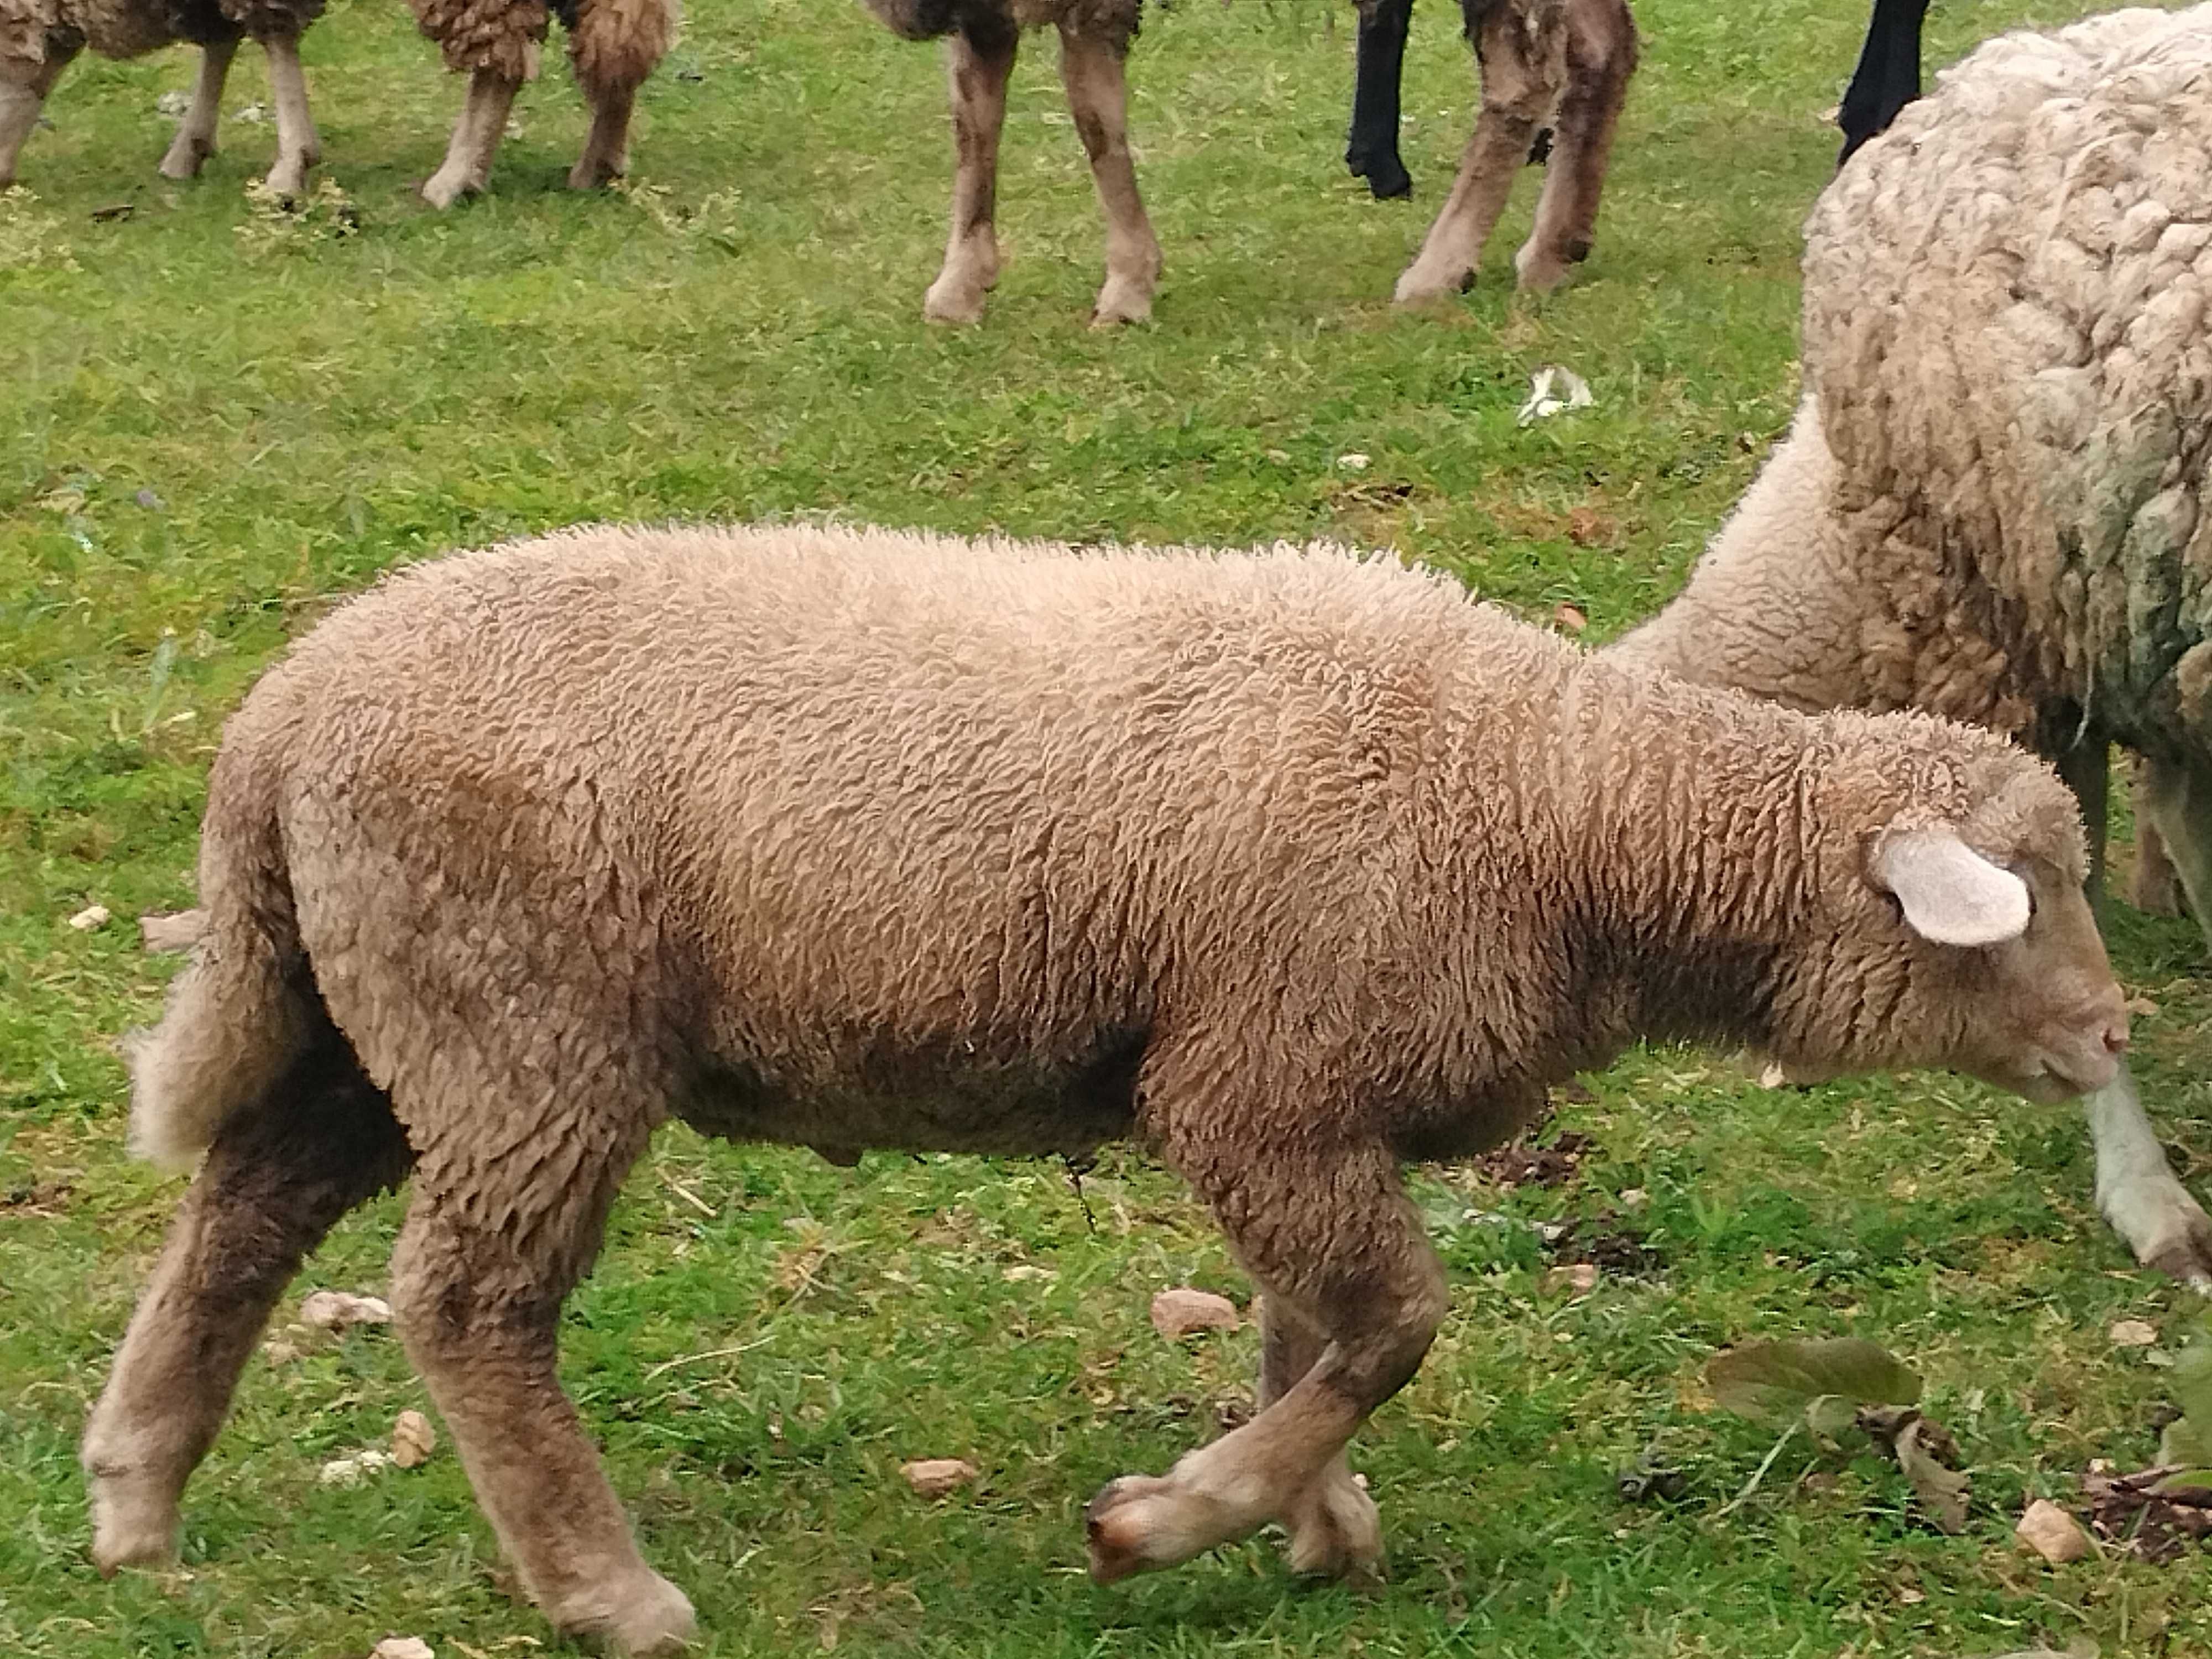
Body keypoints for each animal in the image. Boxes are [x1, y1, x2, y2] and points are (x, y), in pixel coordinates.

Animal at [86, 526, 2124, 1655]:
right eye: (2028, 893)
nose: (2115, 1037)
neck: (1563, 809)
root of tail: (285, 710)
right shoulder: (1254, 1080)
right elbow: (1391, 1328)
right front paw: (1176, 1521)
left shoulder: (1313, 1095)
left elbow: (1312, 1331)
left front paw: (1317, 1533)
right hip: (526, 1017)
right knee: (467, 1305)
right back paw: (605, 1593)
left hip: (381, 1011)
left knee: (245, 1212)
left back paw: (137, 1499)